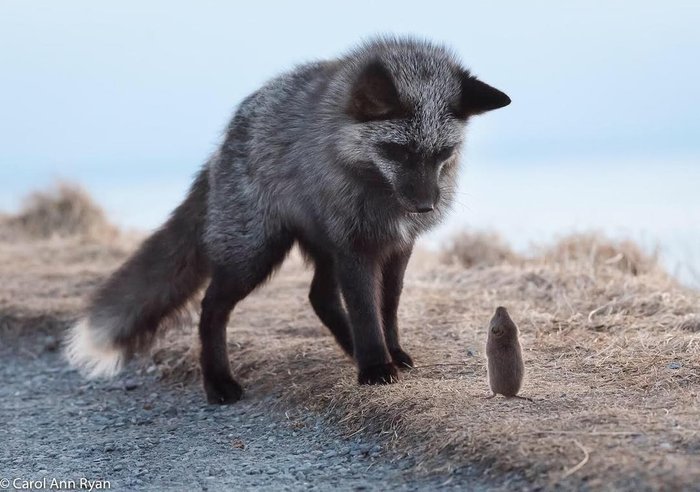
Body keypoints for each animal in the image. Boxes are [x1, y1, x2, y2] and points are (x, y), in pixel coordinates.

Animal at [65, 36, 508, 402]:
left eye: (442, 153)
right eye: (398, 151)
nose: (425, 206)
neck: (375, 190)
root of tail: (222, 144)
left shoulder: (396, 246)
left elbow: (387, 308)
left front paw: (390, 353)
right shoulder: (355, 247)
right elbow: (365, 311)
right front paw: (375, 368)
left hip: (315, 249)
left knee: (319, 298)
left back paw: (351, 349)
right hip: (254, 254)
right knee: (211, 307)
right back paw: (219, 382)